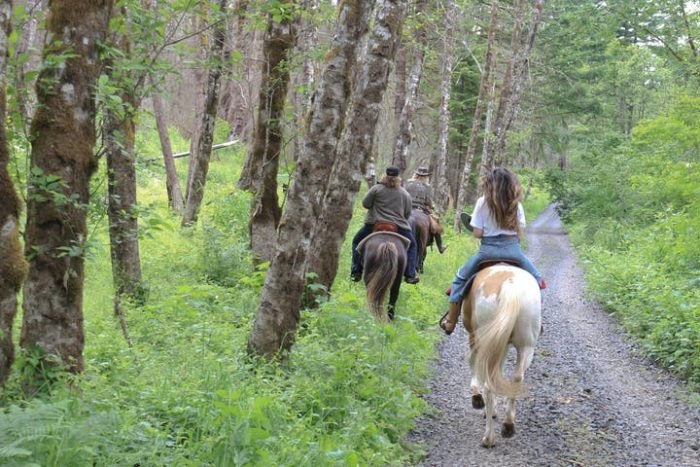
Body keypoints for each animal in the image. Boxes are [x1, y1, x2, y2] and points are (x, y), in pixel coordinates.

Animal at [464, 266, 540, 448]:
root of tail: (510, 286)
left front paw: (479, 401)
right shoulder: (502, 346)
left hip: (485, 340)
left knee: (488, 385)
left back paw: (488, 438)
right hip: (526, 346)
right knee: (516, 379)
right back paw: (508, 425)